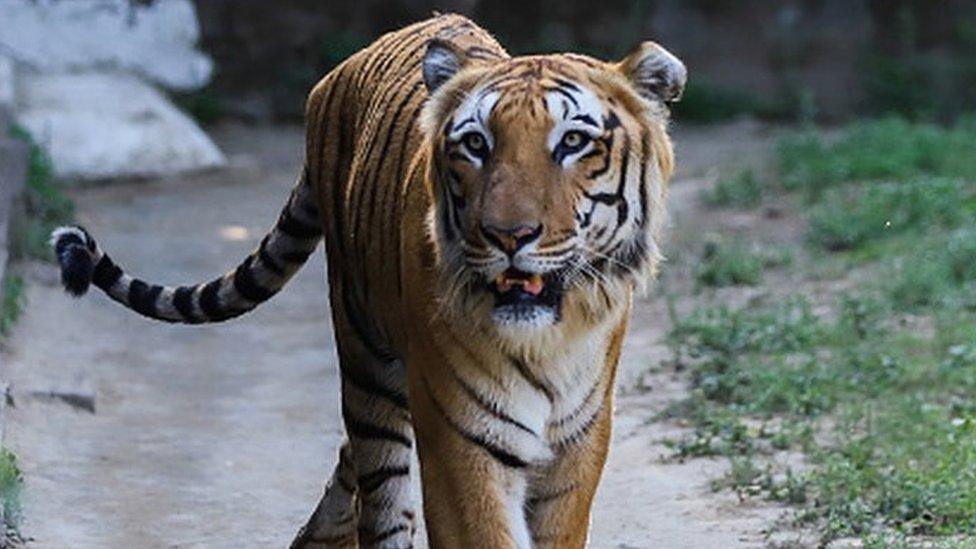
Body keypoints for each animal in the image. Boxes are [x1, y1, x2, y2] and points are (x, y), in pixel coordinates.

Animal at [47, 12, 688, 548]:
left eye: (574, 142)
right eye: (476, 145)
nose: (508, 236)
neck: (549, 340)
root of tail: (342, 69)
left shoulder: (579, 444)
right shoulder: (462, 437)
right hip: (369, 367)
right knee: (378, 496)